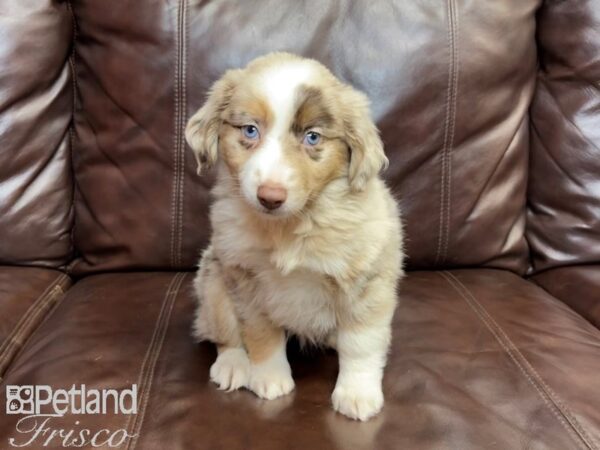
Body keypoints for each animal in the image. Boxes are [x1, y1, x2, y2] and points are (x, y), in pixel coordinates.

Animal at [186, 52, 404, 422]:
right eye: (250, 130)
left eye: (312, 138)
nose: (270, 197)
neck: (292, 227)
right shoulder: (246, 280)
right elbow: (261, 334)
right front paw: (269, 378)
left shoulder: (367, 281)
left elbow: (361, 343)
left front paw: (357, 393)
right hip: (213, 282)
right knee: (223, 333)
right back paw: (232, 365)